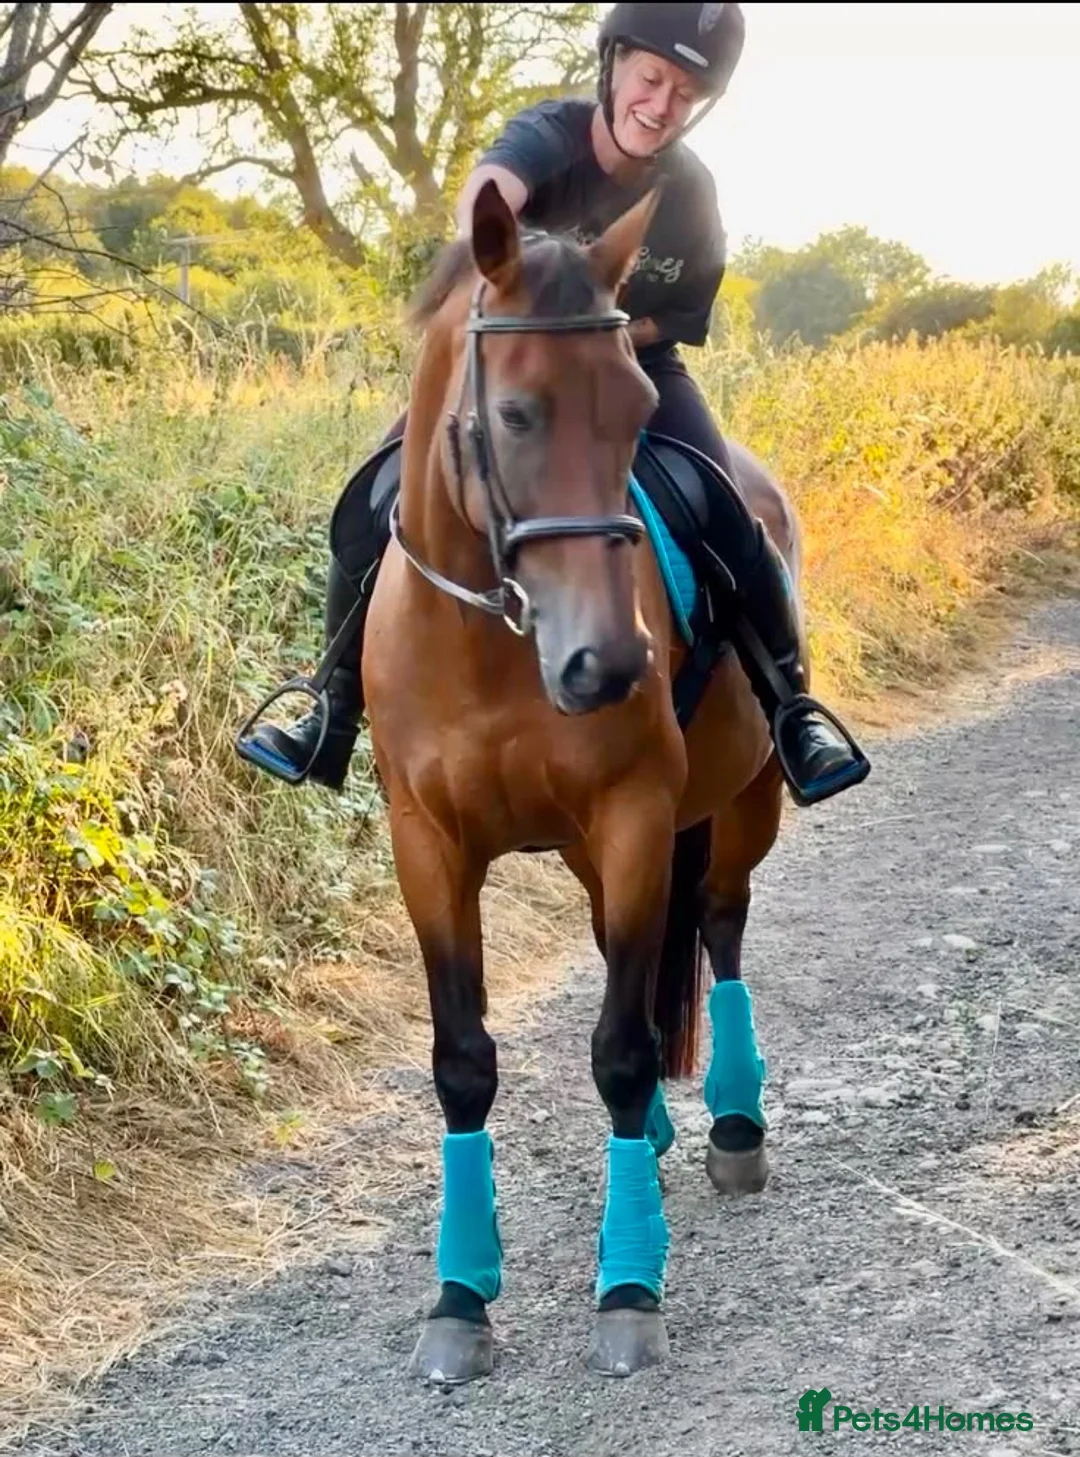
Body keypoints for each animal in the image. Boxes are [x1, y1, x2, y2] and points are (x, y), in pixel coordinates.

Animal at [362, 181, 797, 1383]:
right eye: (515, 414)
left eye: (639, 403)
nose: (609, 665)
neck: (490, 641)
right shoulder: (427, 844)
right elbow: (464, 1060)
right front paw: (460, 1296)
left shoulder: (637, 817)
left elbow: (620, 1048)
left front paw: (630, 1283)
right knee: (622, 947)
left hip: (742, 805)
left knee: (722, 923)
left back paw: (731, 1125)